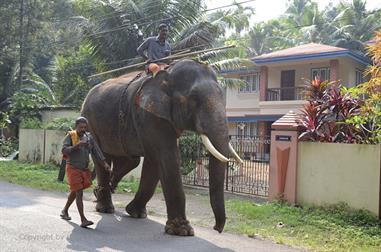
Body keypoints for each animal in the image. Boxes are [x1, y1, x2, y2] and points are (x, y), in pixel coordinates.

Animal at [81, 59, 242, 236]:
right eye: (193, 98)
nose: (217, 229)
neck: (167, 74)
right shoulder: (149, 115)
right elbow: (167, 157)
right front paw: (182, 231)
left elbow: (154, 162)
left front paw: (136, 213)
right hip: (90, 123)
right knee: (102, 157)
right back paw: (105, 207)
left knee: (130, 160)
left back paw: (105, 190)